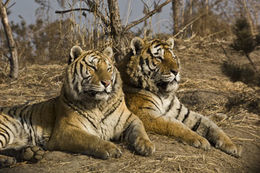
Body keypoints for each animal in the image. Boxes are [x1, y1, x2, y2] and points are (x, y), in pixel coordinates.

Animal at [0, 45, 154, 168]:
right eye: (93, 67)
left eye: (109, 68)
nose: (107, 83)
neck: (99, 105)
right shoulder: (66, 130)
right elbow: (91, 139)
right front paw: (110, 148)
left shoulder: (130, 119)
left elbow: (139, 130)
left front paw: (147, 146)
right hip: (5, 129)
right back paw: (10, 160)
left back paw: (30, 153)